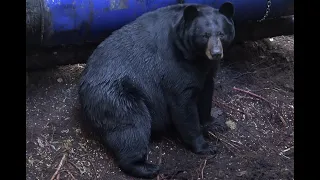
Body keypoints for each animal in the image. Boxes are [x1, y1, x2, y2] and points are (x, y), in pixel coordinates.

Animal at [78, 2, 235, 179]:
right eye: (204, 35)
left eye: (221, 34)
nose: (216, 53)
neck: (195, 56)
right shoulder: (175, 66)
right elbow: (183, 106)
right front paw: (204, 146)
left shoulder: (207, 71)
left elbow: (206, 94)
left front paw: (215, 123)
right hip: (116, 98)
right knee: (132, 127)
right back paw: (147, 167)